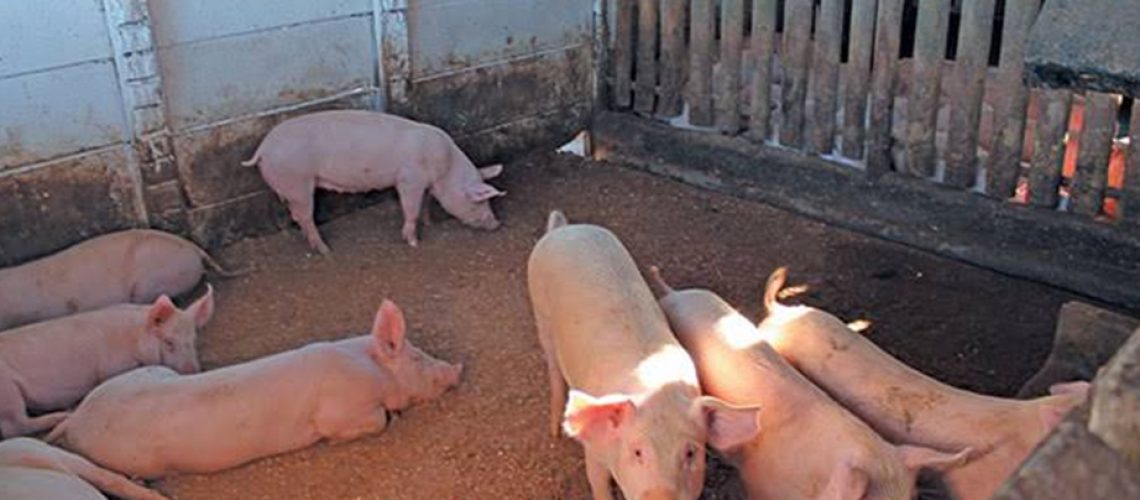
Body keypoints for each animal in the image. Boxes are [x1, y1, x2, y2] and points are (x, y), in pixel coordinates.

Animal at [0, 287, 213, 438]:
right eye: (169, 342)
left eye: (193, 339)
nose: (193, 370)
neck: (134, 338)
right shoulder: (110, 367)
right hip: (9, 393)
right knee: (14, 426)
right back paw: (64, 414)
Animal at [47, 299, 462, 478]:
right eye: (419, 359)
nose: (456, 370)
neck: (371, 369)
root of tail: (78, 418)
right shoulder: (341, 411)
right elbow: (374, 421)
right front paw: (393, 416)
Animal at [242, 110, 506, 253]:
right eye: (479, 201)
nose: (496, 224)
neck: (446, 168)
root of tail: (263, 149)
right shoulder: (409, 179)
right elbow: (410, 208)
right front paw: (413, 242)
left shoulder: (424, 184)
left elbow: (425, 204)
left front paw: (429, 222)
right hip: (298, 183)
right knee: (304, 216)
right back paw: (325, 250)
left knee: (296, 216)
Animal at [527, 210, 761, 500]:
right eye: (638, 452)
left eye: (690, 453)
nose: (662, 496)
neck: (657, 393)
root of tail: (564, 229)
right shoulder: (594, 450)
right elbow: (598, 482)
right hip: (540, 311)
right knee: (553, 366)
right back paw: (554, 431)